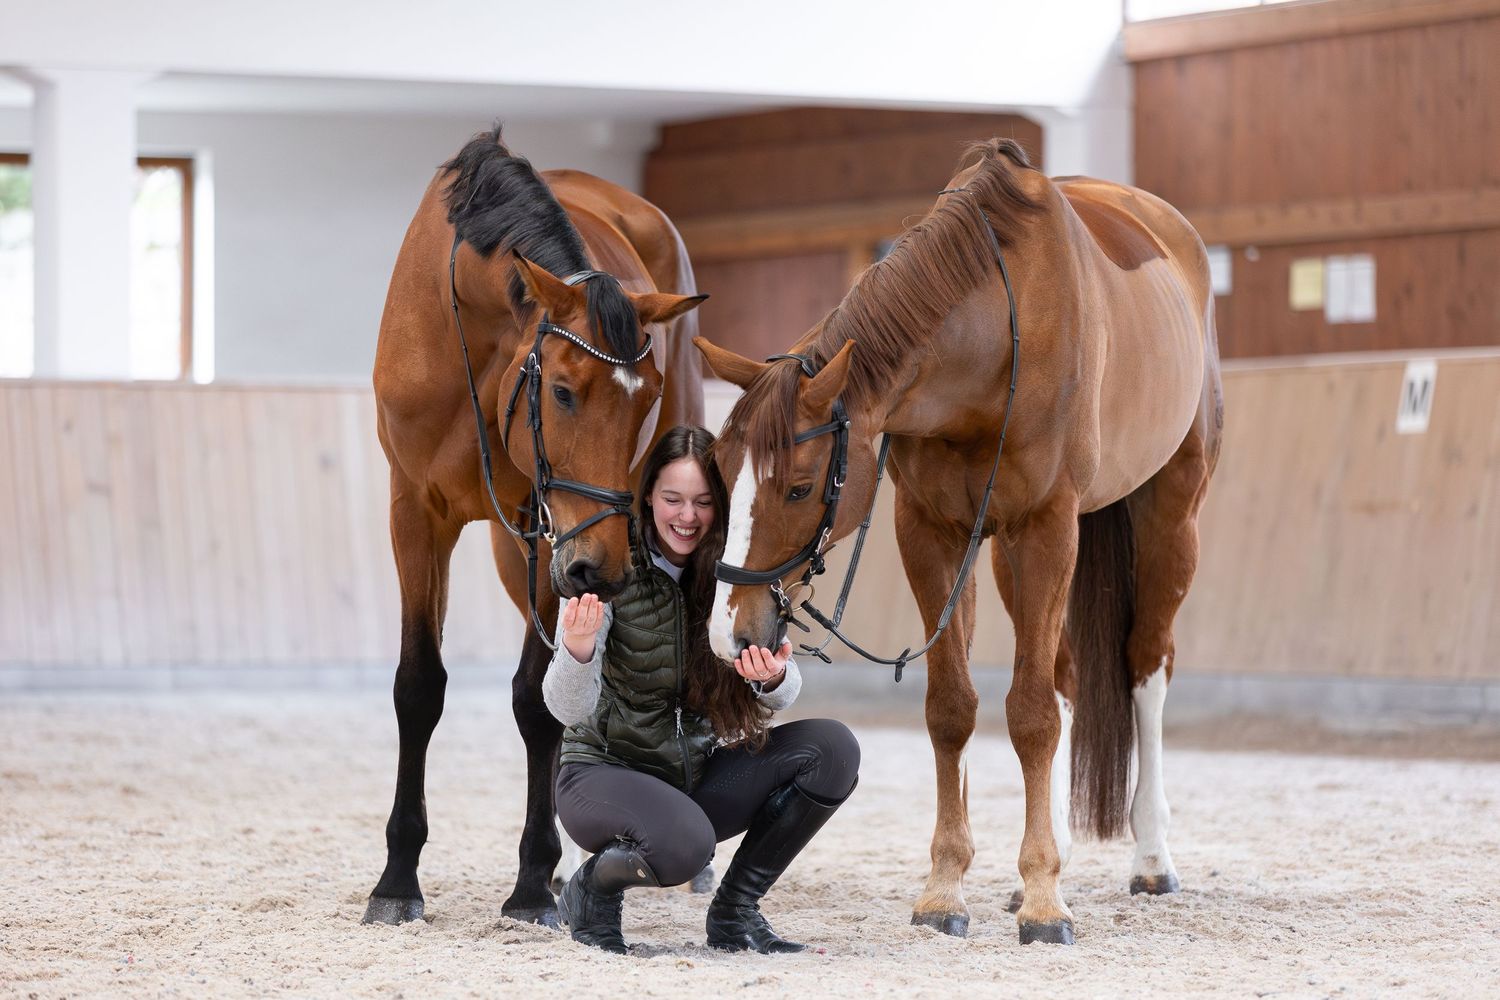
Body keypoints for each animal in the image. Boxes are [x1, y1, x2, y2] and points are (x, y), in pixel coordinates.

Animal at [366, 126, 706, 927]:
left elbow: (535, 701)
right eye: (561, 390)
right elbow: (418, 686)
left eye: (643, 397)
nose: (604, 570)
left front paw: (530, 877)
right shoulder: (415, 512)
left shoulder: (555, 532)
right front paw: (397, 878)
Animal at [697, 139, 1222, 945]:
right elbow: (953, 708)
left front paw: (1045, 904)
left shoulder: (1047, 525)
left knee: (1145, 668)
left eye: (799, 487)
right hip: (1005, 554)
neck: (993, 337)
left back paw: (1152, 860)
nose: (731, 629)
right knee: (1065, 675)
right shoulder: (933, 530)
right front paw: (949, 889)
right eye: (724, 474)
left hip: (1168, 518)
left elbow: (1031, 716)